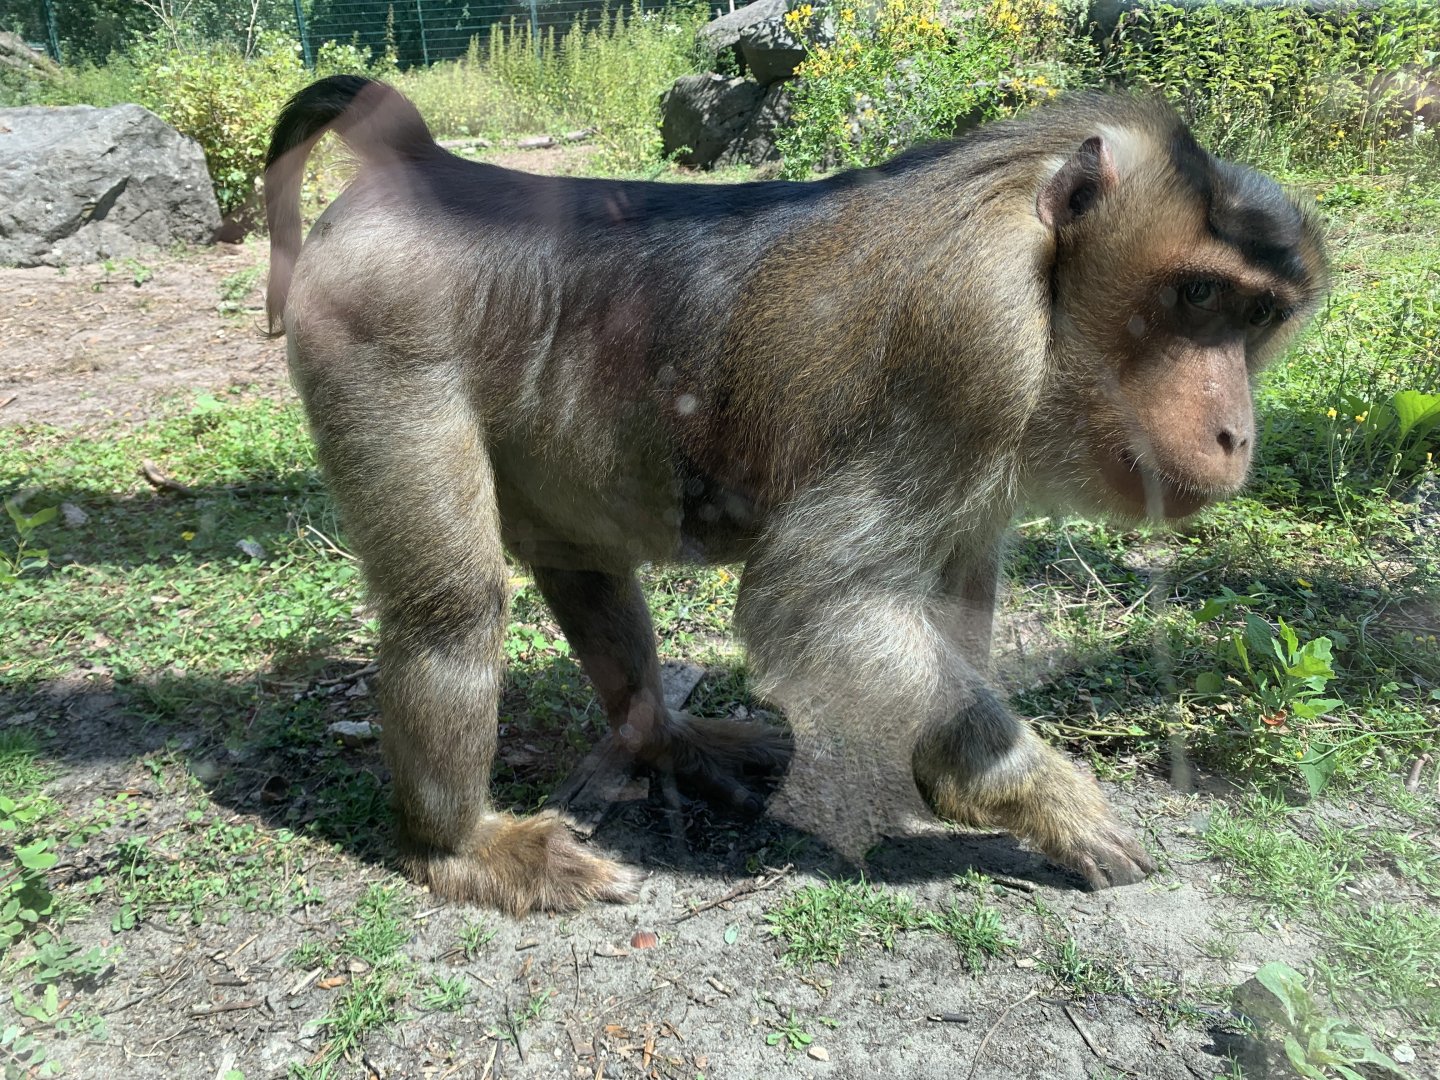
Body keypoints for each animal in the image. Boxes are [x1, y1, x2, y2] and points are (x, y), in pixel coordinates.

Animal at [263, 75, 1326, 916]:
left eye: (1259, 316)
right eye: (1197, 296)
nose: (1237, 434)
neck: (1039, 263)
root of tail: (429, 168)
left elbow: (949, 586)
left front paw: (952, 779)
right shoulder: (971, 337)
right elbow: (812, 601)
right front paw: (1031, 796)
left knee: (579, 559)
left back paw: (659, 738)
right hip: (376, 325)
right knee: (452, 605)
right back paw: (457, 847)